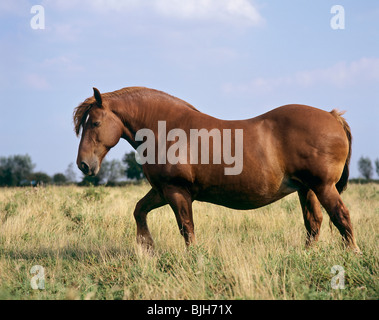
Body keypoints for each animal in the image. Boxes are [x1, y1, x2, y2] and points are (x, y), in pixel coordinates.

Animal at [73, 87, 360, 252]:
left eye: (95, 123)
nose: (83, 164)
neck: (167, 130)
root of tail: (332, 116)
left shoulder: (177, 191)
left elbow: (186, 228)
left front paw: (194, 260)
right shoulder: (162, 191)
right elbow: (139, 210)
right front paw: (147, 247)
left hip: (323, 187)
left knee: (341, 217)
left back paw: (352, 254)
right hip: (307, 189)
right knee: (314, 222)